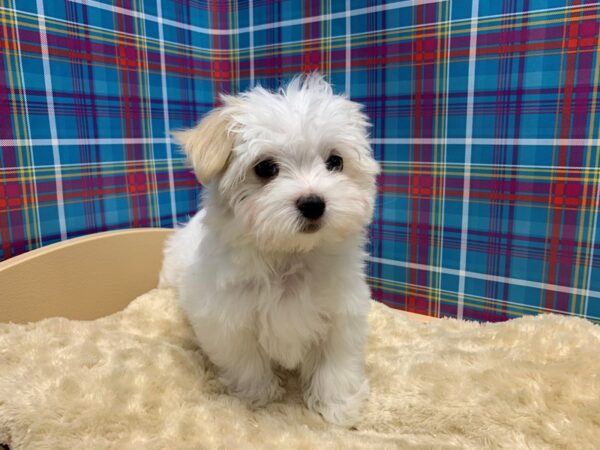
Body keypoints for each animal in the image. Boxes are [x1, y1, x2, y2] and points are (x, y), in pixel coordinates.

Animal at [159, 73, 380, 426]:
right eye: (265, 168)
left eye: (335, 161)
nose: (313, 203)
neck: (289, 255)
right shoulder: (229, 320)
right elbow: (246, 362)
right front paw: (259, 397)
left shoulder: (342, 313)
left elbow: (336, 363)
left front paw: (338, 407)